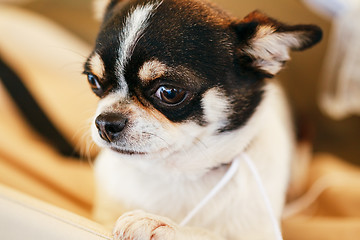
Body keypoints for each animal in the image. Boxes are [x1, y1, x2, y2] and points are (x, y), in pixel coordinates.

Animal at [83, 0, 320, 239]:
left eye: (169, 92)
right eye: (93, 80)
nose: (106, 122)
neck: (177, 173)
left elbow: (209, 233)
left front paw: (160, 223)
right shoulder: (101, 217)